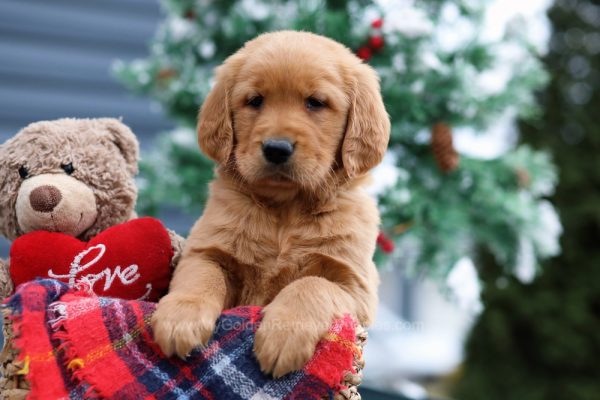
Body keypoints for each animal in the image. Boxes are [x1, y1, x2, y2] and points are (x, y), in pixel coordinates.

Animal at [152, 30, 392, 378]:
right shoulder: (205, 250)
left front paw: (283, 335)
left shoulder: (355, 286)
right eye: (255, 100)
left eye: (315, 102)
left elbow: (311, 284)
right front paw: (179, 319)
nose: (276, 149)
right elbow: (201, 276)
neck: (285, 210)